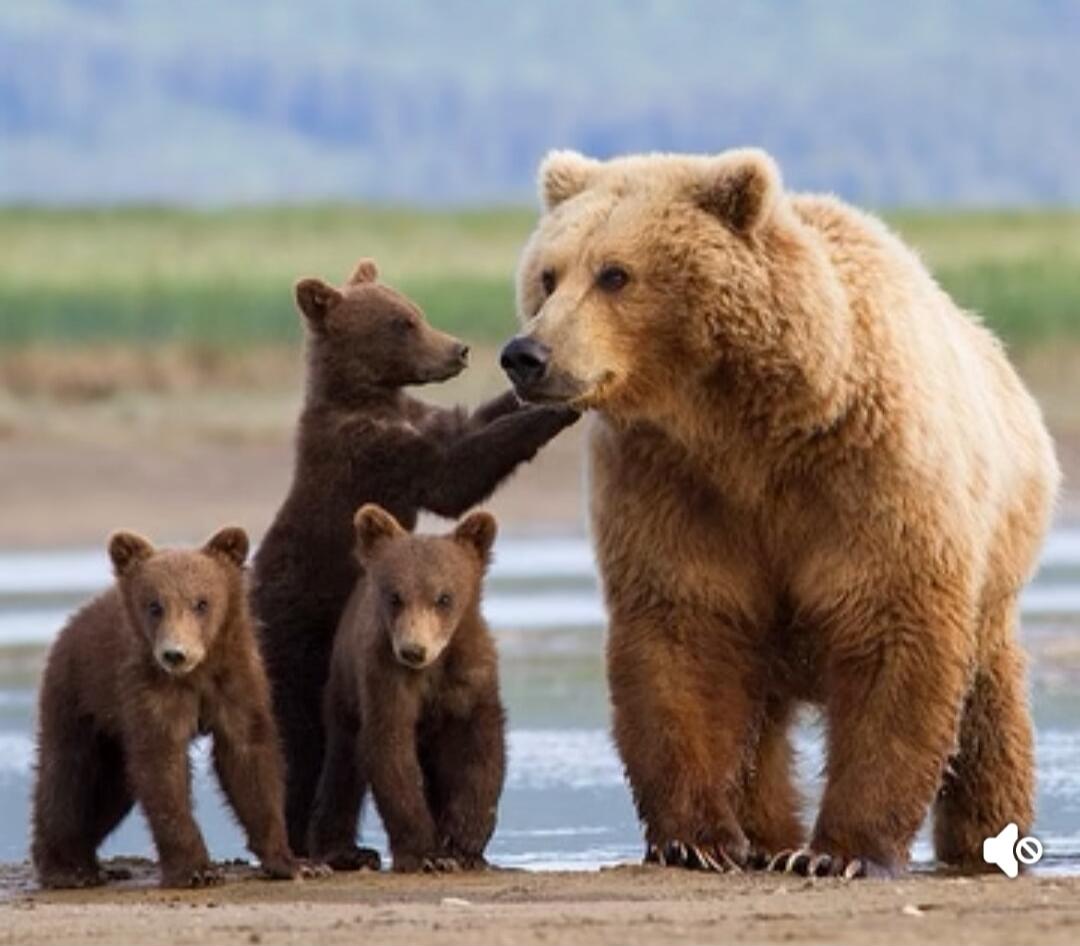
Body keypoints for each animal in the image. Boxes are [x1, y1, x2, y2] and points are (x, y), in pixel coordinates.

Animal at [32, 527, 300, 889]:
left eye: (202, 602)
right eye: (154, 605)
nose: (175, 654)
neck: (196, 675)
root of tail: (73, 621)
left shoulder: (235, 683)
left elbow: (250, 758)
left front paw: (292, 862)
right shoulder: (149, 691)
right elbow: (163, 769)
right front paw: (196, 870)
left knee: (110, 791)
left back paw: (95, 865)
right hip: (77, 698)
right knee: (68, 776)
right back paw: (67, 869)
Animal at [306, 504, 505, 873]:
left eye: (444, 597)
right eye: (395, 596)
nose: (414, 650)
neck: (432, 669)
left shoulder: (470, 676)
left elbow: (480, 746)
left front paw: (464, 843)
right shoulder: (384, 679)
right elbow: (390, 749)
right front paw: (427, 852)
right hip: (343, 689)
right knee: (342, 767)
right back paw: (345, 851)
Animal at [500, 148, 1061, 877]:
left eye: (614, 273)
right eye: (547, 275)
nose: (525, 354)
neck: (749, 426)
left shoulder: (874, 483)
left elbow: (893, 640)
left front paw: (842, 854)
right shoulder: (673, 488)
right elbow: (682, 637)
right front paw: (695, 840)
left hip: (994, 567)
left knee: (988, 710)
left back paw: (984, 838)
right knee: (759, 724)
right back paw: (768, 838)